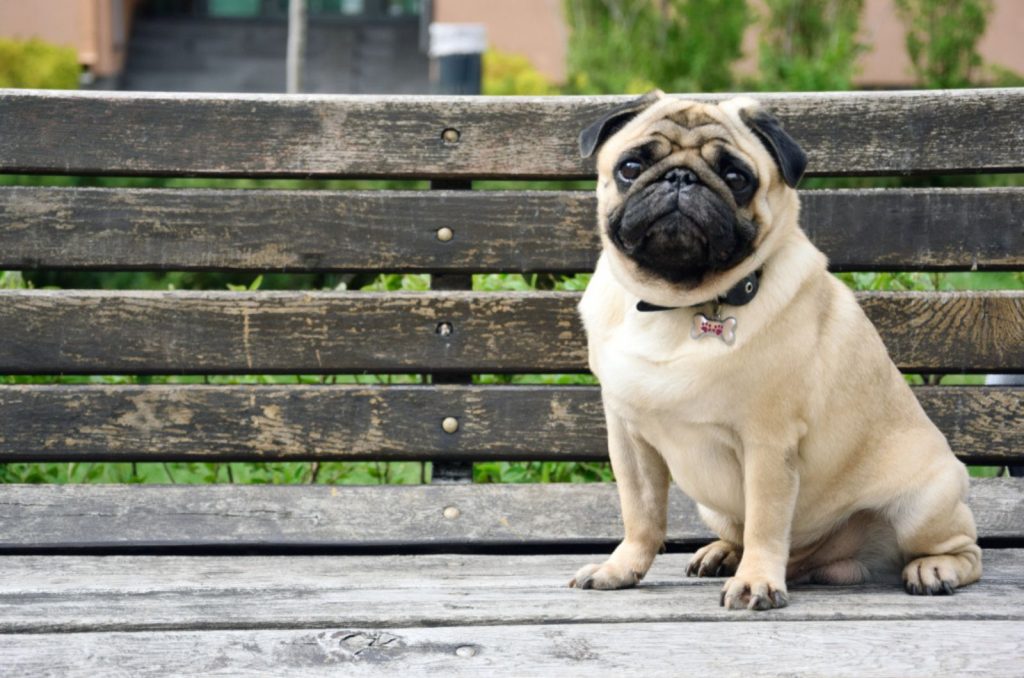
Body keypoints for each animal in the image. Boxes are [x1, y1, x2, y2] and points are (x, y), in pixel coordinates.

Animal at [569, 91, 983, 610]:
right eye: (630, 166)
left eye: (735, 177)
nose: (680, 177)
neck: (676, 304)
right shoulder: (628, 438)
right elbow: (640, 514)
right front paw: (620, 569)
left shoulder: (767, 443)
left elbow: (766, 521)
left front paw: (755, 582)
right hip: (714, 507)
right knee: (739, 531)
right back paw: (723, 553)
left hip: (924, 505)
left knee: (966, 550)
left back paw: (933, 568)